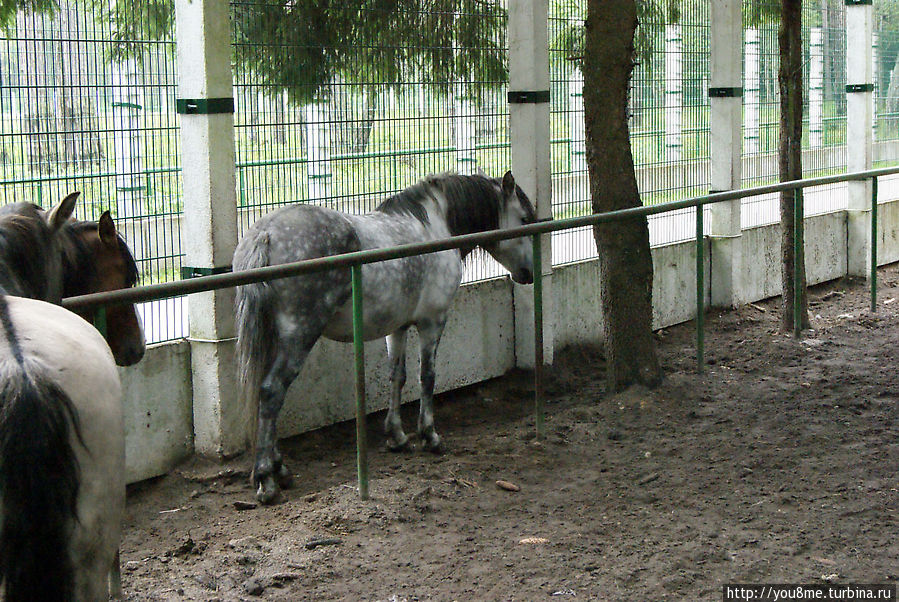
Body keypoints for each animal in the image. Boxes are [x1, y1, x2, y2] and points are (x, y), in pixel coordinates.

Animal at [236, 170, 536, 502]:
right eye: (524, 219)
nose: (529, 274)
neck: (435, 227)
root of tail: (266, 234)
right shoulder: (433, 322)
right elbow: (427, 377)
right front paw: (429, 436)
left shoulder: (398, 327)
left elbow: (397, 376)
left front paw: (397, 436)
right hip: (298, 337)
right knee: (272, 391)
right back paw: (266, 478)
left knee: (266, 393)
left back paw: (280, 469)